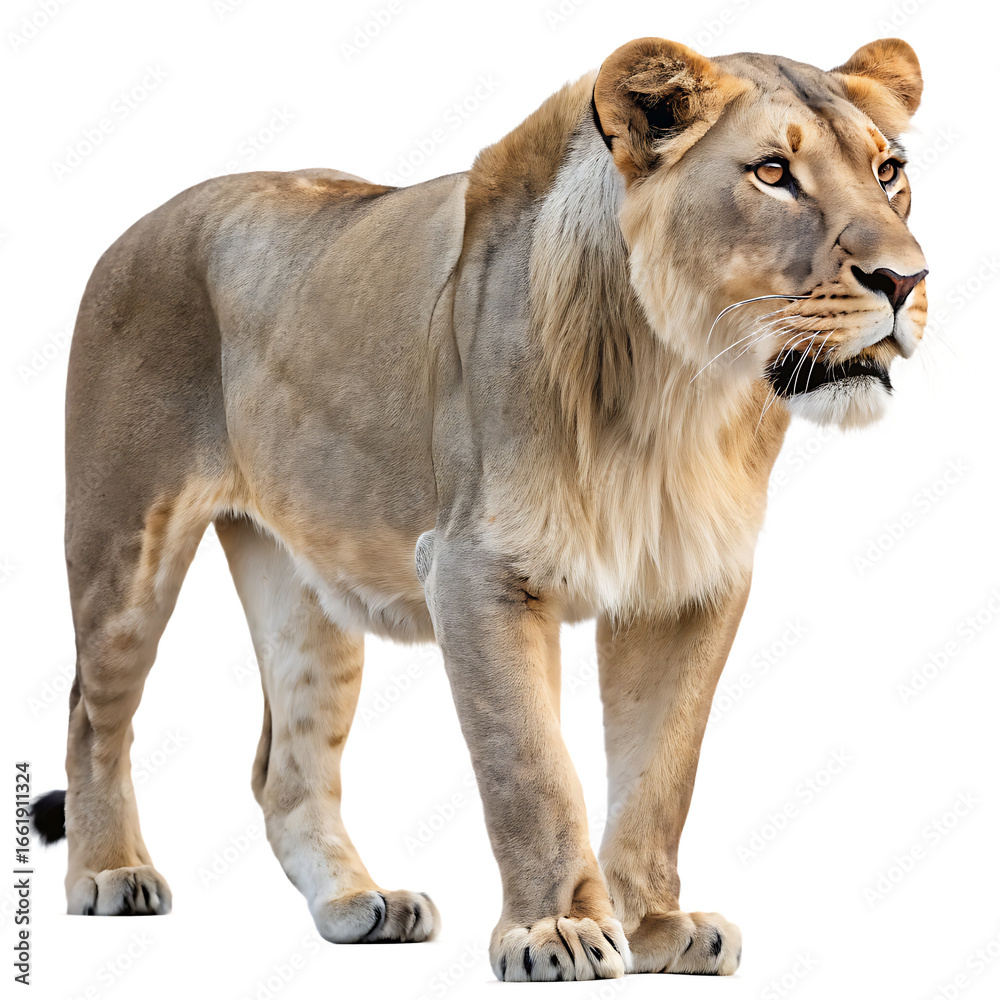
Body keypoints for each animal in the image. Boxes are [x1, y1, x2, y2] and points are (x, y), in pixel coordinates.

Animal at [32, 35, 927, 981]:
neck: (683, 392)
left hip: (306, 588)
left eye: (890, 171)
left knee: (286, 769)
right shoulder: (473, 568)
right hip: (125, 541)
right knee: (91, 714)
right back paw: (110, 873)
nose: (907, 278)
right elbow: (529, 764)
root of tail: (140, 221)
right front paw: (557, 932)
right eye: (772, 173)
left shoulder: (690, 583)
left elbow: (662, 771)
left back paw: (360, 903)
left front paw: (654, 925)